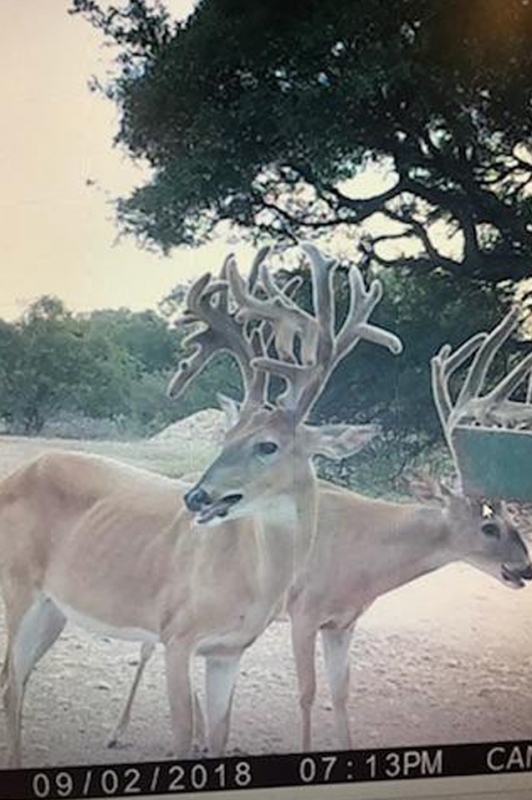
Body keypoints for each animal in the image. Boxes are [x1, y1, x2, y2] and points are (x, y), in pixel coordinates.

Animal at [0, 242, 402, 767]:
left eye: (267, 445)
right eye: (225, 437)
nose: (195, 495)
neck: (250, 579)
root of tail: (16, 473)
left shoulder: (228, 651)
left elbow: (218, 735)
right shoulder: (176, 634)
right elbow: (182, 733)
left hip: (55, 607)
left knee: (14, 679)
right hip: (19, 586)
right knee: (12, 684)